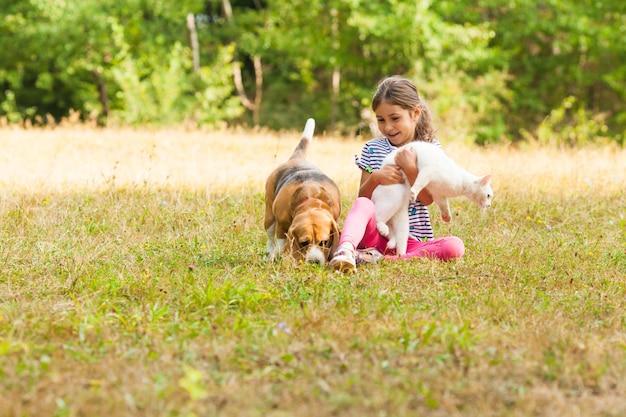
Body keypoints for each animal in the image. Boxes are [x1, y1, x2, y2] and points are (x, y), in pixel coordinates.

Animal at [264, 118, 342, 264]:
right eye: (304, 243)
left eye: (324, 242)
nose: (314, 261)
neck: (312, 196)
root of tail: (296, 159)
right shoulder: (281, 228)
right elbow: (281, 244)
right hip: (269, 219)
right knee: (271, 240)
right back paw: (270, 256)